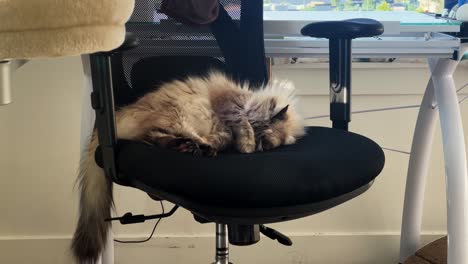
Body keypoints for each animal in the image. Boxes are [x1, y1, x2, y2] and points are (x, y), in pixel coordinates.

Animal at [71, 71, 306, 262]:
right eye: (258, 127)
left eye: (263, 143)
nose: (254, 144)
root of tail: (120, 115)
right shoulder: (230, 105)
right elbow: (239, 123)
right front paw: (244, 143)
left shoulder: (225, 130)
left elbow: (223, 137)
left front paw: (235, 145)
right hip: (180, 113)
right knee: (162, 135)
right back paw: (197, 147)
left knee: (157, 137)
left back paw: (194, 148)